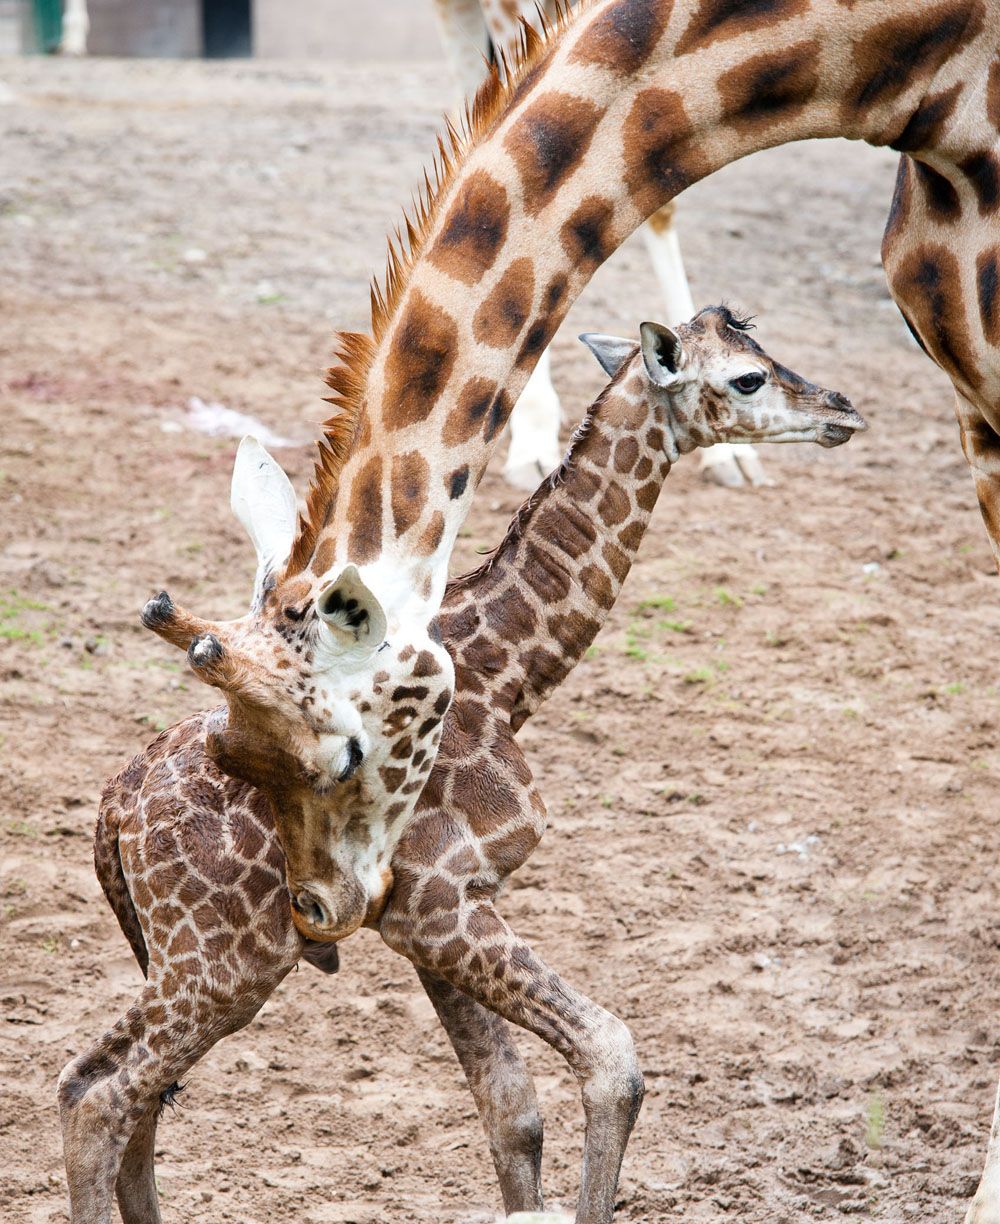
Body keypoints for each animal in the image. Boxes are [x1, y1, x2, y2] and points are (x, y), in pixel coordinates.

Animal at [60, 307, 865, 1224]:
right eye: (747, 378)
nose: (841, 409)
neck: (510, 675)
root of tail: (112, 812)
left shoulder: (434, 910)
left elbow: (512, 1116)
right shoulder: (437, 903)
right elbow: (610, 1059)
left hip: (185, 961)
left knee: (97, 1086)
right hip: (224, 963)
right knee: (103, 1102)